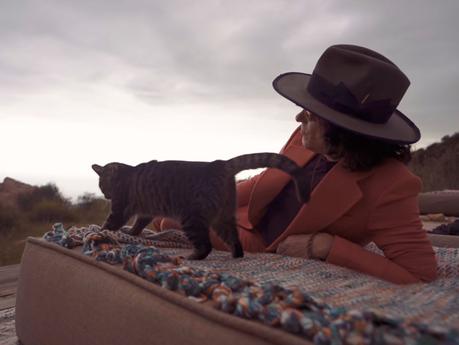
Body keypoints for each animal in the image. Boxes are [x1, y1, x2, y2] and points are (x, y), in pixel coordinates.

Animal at [93, 153, 310, 258]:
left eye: (102, 184)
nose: (105, 194)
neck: (125, 174)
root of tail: (219, 163)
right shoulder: (145, 213)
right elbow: (138, 226)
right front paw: (131, 233)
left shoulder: (120, 209)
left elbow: (109, 224)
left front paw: (99, 232)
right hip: (223, 218)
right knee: (234, 240)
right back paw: (236, 255)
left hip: (191, 219)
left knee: (206, 246)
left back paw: (191, 257)